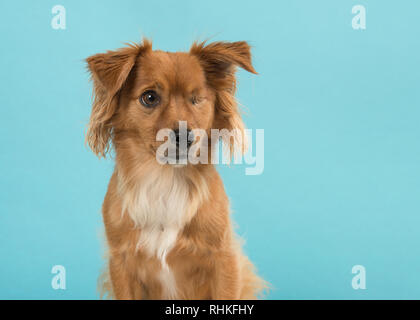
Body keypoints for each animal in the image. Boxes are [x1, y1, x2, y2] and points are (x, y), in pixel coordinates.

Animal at [85, 38, 266, 298]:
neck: (164, 179)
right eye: (149, 97)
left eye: (196, 99)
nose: (185, 136)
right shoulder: (121, 263)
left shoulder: (225, 260)